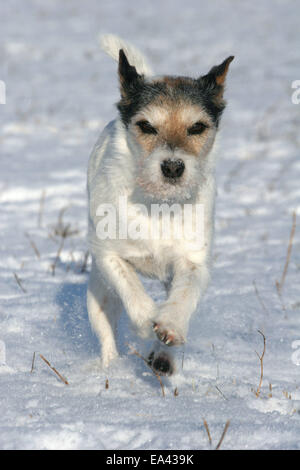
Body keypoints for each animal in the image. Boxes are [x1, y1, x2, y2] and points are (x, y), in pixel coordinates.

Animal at [85, 35, 233, 376]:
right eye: (146, 126)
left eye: (197, 127)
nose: (173, 166)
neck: (159, 203)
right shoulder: (108, 255)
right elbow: (130, 286)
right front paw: (144, 321)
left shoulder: (193, 262)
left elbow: (184, 296)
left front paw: (169, 327)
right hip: (98, 293)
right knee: (106, 331)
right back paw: (110, 369)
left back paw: (163, 357)